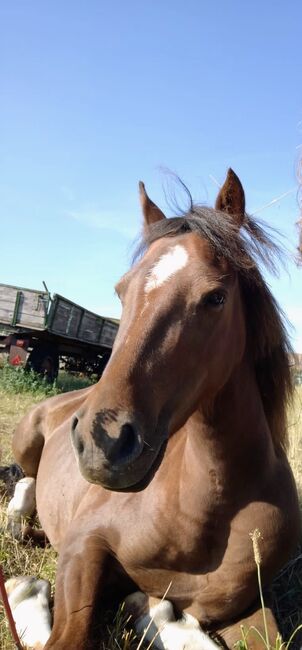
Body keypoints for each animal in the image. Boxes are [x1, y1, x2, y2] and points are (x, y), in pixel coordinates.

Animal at [8, 171, 300, 648]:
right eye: (121, 291)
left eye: (216, 297)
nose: (103, 442)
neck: (210, 508)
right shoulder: (83, 547)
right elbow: (68, 636)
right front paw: (26, 596)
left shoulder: (247, 606)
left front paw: (158, 617)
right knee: (24, 482)